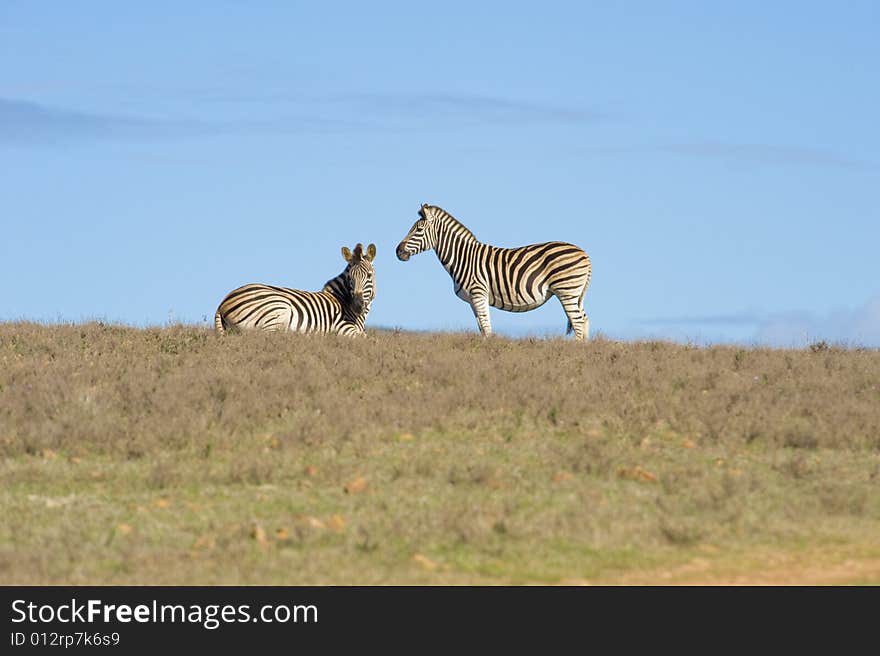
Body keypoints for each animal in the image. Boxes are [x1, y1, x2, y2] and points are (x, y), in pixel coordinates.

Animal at [217, 241, 378, 336]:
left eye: (369, 276)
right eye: (350, 278)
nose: (357, 306)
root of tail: (223, 303)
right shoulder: (342, 328)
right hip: (277, 309)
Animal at [398, 204, 592, 338]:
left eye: (419, 230)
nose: (397, 251)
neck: (463, 257)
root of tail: (584, 254)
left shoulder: (478, 293)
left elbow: (487, 327)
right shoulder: (472, 300)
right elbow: (482, 329)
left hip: (566, 290)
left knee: (578, 323)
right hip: (575, 293)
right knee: (584, 320)